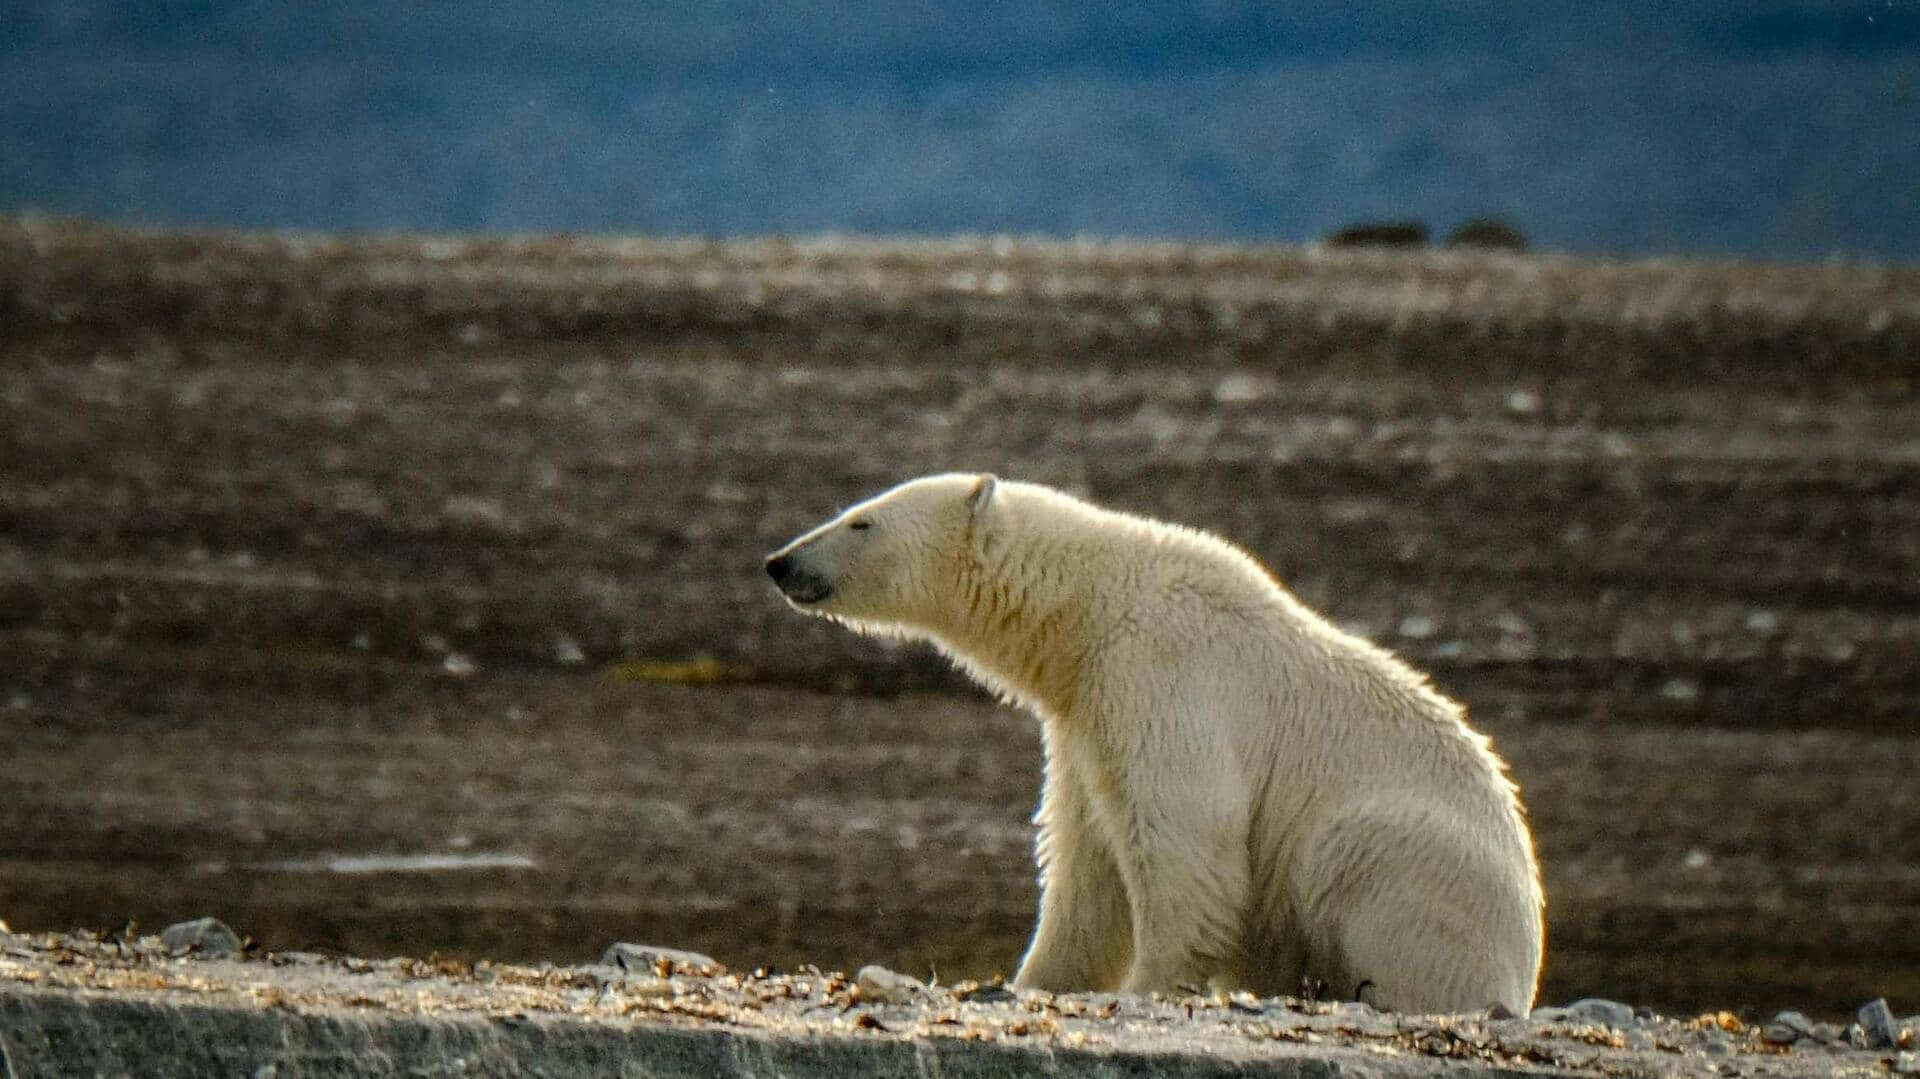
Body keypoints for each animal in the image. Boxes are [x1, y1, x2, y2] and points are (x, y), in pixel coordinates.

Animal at [764, 470, 1543, 1006]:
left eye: (862, 522)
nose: (780, 562)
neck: (1091, 606)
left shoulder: (1162, 679)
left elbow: (1181, 840)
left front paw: (1149, 983)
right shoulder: (1083, 718)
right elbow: (1084, 863)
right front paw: (1036, 978)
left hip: (1416, 858)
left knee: (1356, 861)